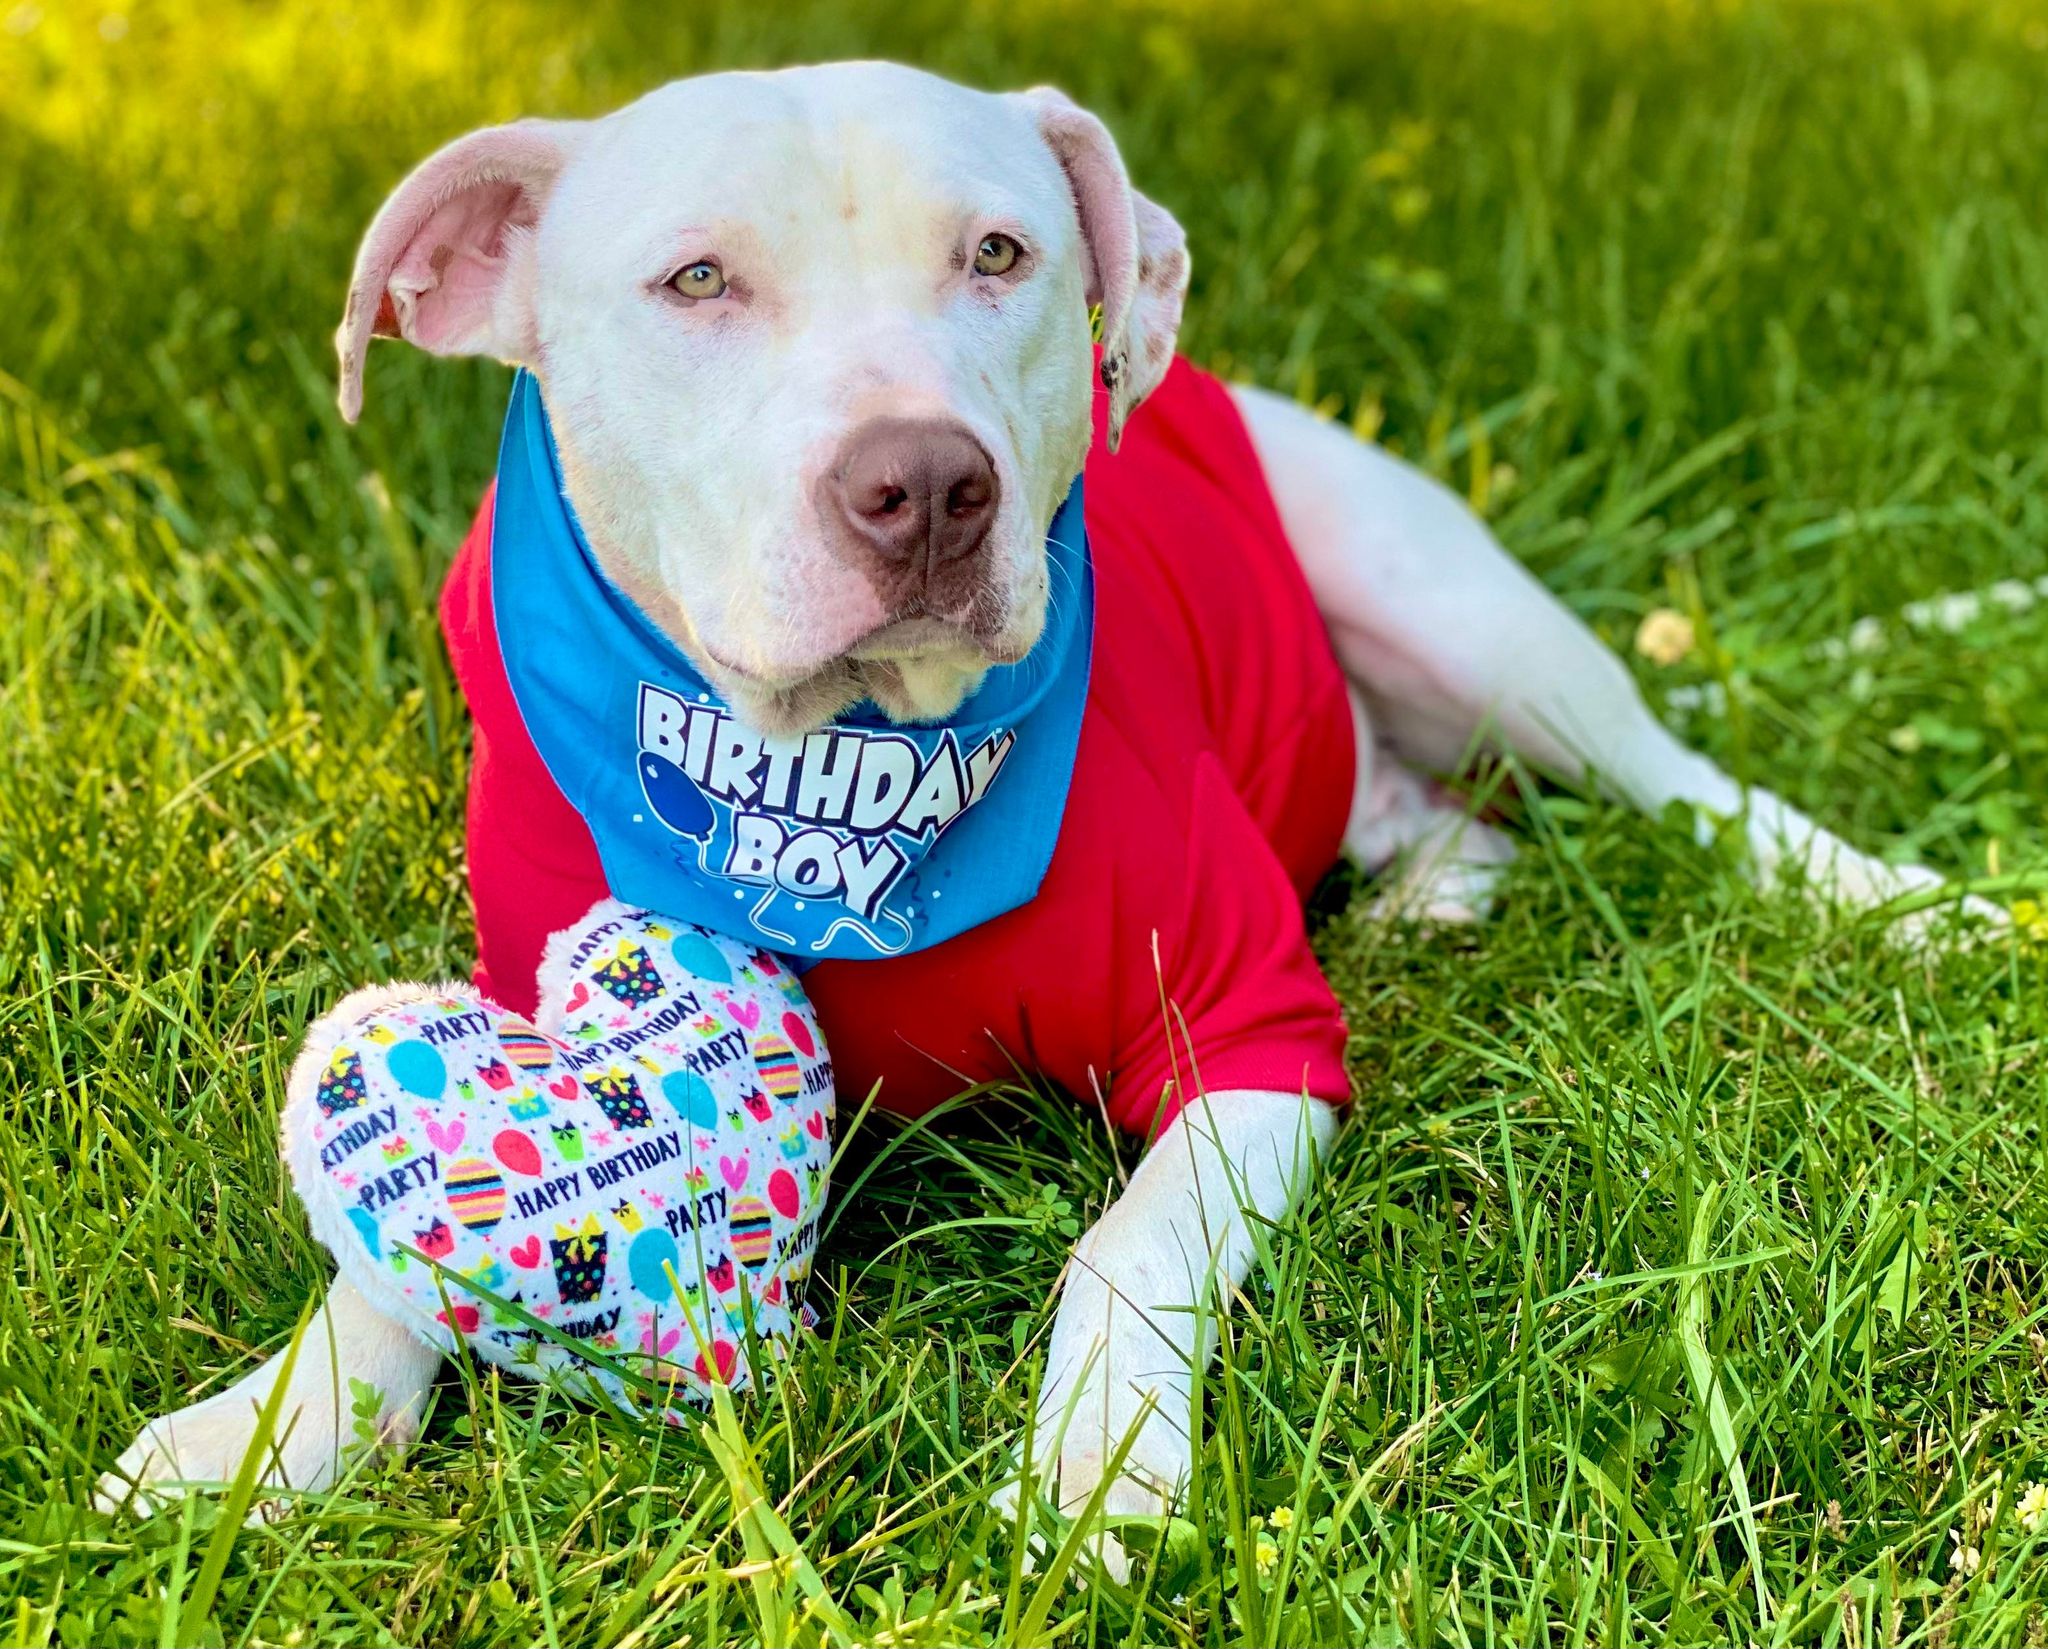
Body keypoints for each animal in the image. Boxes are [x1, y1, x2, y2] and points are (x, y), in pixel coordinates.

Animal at [99, 61, 1998, 1540]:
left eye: (998, 253)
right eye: (696, 279)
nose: (925, 485)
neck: (843, 781)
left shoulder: (1251, 1041)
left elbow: (1124, 1249)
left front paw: (1096, 1470)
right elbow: (371, 1276)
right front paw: (262, 1432)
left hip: (1455, 608)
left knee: (1687, 789)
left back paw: (1906, 902)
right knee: (1444, 807)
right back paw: (1432, 886)